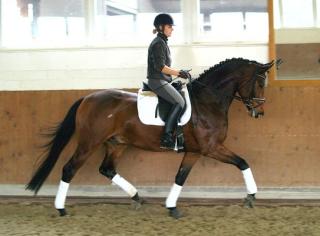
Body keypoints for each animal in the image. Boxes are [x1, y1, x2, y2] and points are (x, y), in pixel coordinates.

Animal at [25, 57, 276, 219]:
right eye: (260, 82)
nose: (260, 112)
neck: (208, 101)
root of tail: (88, 98)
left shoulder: (194, 151)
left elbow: (180, 177)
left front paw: (171, 207)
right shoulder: (211, 148)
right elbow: (243, 162)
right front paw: (251, 196)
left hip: (117, 144)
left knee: (107, 169)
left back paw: (136, 197)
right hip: (89, 143)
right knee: (69, 169)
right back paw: (61, 209)